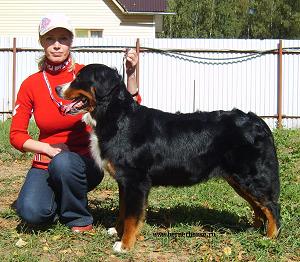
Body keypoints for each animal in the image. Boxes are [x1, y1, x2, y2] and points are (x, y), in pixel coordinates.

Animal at [56, 63, 282, 252]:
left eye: (79, 78)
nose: (58, 88)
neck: (117, 118)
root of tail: (257, 121)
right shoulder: (124, 181)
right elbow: (123, 210)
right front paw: (116, 231)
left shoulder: (136, 181)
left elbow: (131, 216)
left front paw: (125, 244)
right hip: (237, 179)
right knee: (259, 207)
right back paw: (254, 230)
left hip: (250, 176)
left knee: (271, 206)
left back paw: (270, 238)